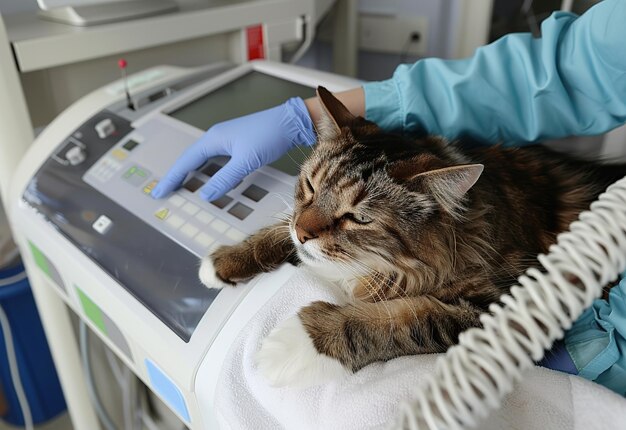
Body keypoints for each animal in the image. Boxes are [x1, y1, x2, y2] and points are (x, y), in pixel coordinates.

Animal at [197, 85, 620, 386]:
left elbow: (406, 319)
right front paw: (224, 261)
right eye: (311, 186)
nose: (304, 234)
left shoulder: (511, 305)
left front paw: (298, 344)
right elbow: (279, 228)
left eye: (358, 218)